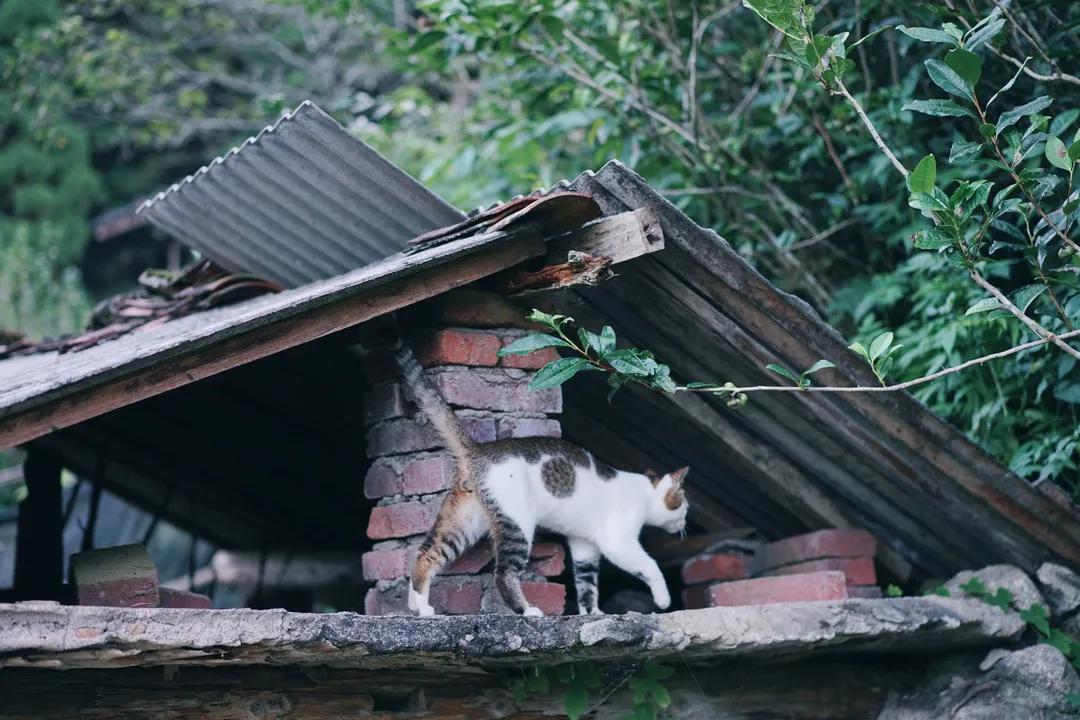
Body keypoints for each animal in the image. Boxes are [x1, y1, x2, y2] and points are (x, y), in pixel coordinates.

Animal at [393, 345, 686, 617]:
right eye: (684, 505)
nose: (684, 525)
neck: (646, 493)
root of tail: (477, 450)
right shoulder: (619, 542)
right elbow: (649, 565)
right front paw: (663, 599)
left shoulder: (584, 545)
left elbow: (587, 585)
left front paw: (593, 613)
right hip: (516, 522)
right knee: (503, 573)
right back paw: (527, 610)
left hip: (464, 522)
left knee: (425, 554)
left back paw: (420, 607)